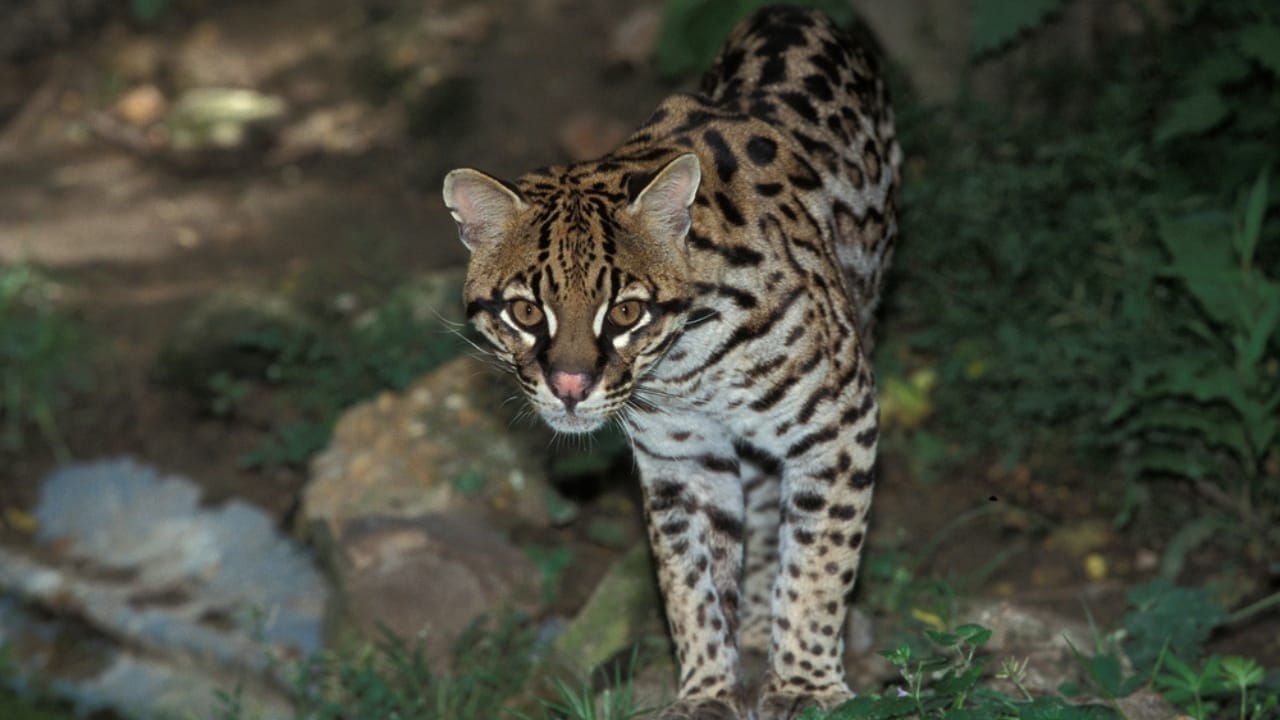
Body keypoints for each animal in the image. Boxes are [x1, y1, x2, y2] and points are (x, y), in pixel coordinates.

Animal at [442, 7, 899, 719]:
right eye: (525, 312)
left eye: (626, 312)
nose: (570, 387)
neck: (691, 360)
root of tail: (793, 10)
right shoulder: (683, 456)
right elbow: (690, 579)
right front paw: (708, 687)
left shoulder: (838, 420)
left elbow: (821, 560)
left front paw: (805, 684)